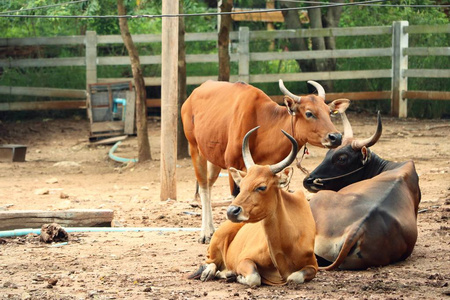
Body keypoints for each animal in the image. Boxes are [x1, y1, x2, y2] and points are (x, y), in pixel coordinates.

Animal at [181, 79, 350, 244]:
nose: (336, 137)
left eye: (329, 112)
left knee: (209, 185)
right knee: (203, 186)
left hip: (213, 157)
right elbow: (236, 198)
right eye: (309, 113)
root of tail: (191, 97)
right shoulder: (232, 165)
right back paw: (205, 233)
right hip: (195, 149)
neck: (263, 122)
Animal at [188, 126, 318, 286]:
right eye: (242, 184)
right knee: (209, 262)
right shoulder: (244, 260)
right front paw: (237, 276)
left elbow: (294, 278)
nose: (232, 211)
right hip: (217, 239)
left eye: (261, 187)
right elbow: (254, 277)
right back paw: (213, 272)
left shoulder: (313, 266)